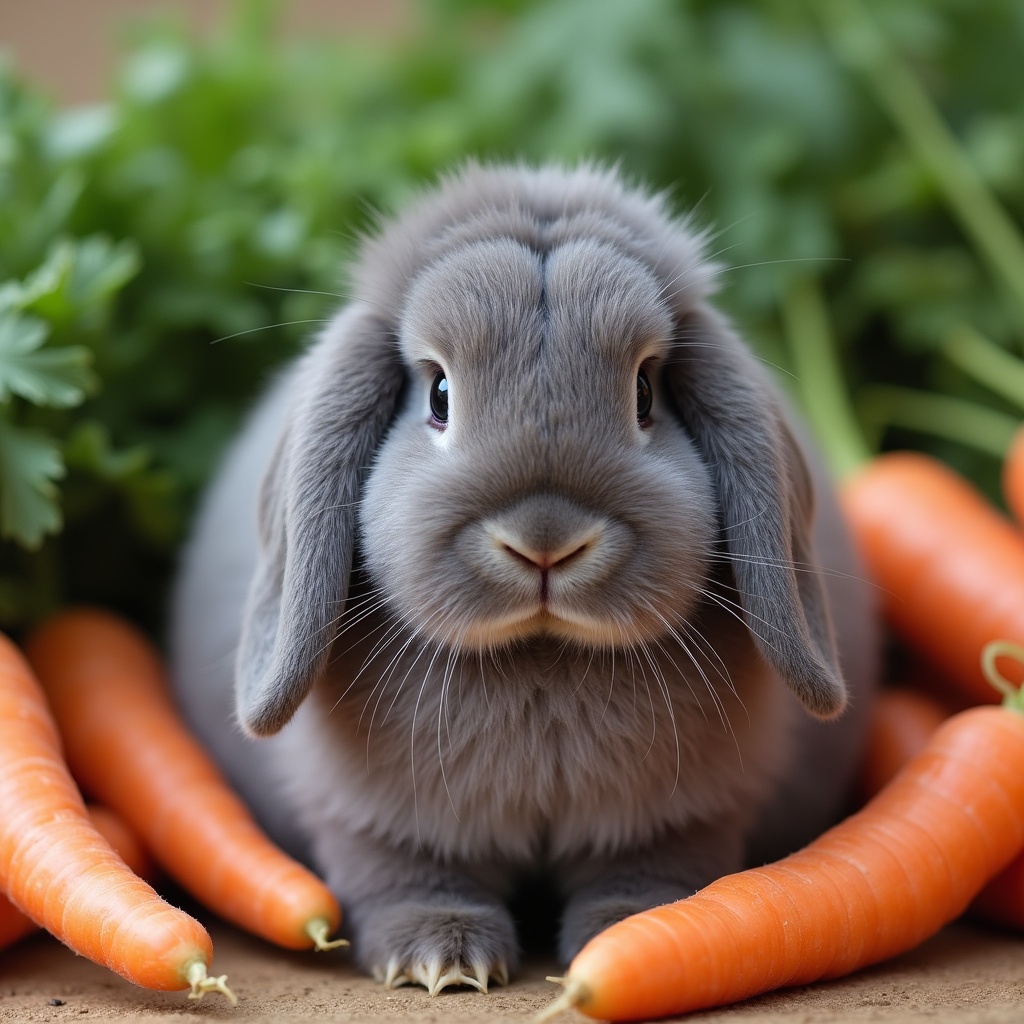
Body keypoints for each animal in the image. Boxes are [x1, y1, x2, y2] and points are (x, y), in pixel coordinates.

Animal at [169, 161, 880, 996]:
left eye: (645, 391)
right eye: (439, 394)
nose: (546, 543)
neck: (542, 660)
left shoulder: (680, 817)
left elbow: (651, 876)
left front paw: (628, 935)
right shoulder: (378, 819)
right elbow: (401, 873)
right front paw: (440, 960)